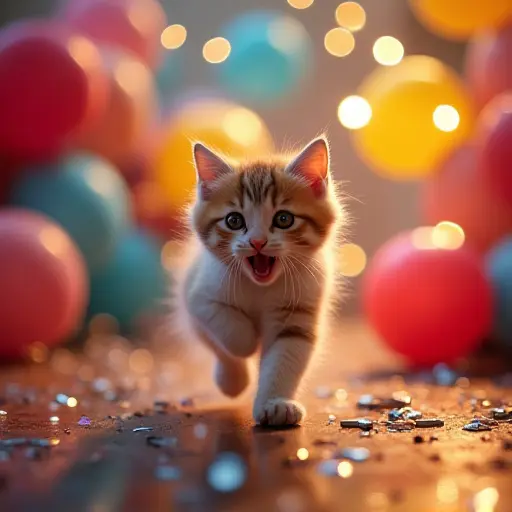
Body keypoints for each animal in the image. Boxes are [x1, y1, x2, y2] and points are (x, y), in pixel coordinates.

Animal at [174, 134, 346, 426]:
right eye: (233, 220)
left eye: (284, 218)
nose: (257, 242)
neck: (260, 287)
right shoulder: (199, 295)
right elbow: (227, 328)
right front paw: (247, 342)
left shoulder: (298, 315)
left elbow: (283, 360)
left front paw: (275, 404)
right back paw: (232, 380)